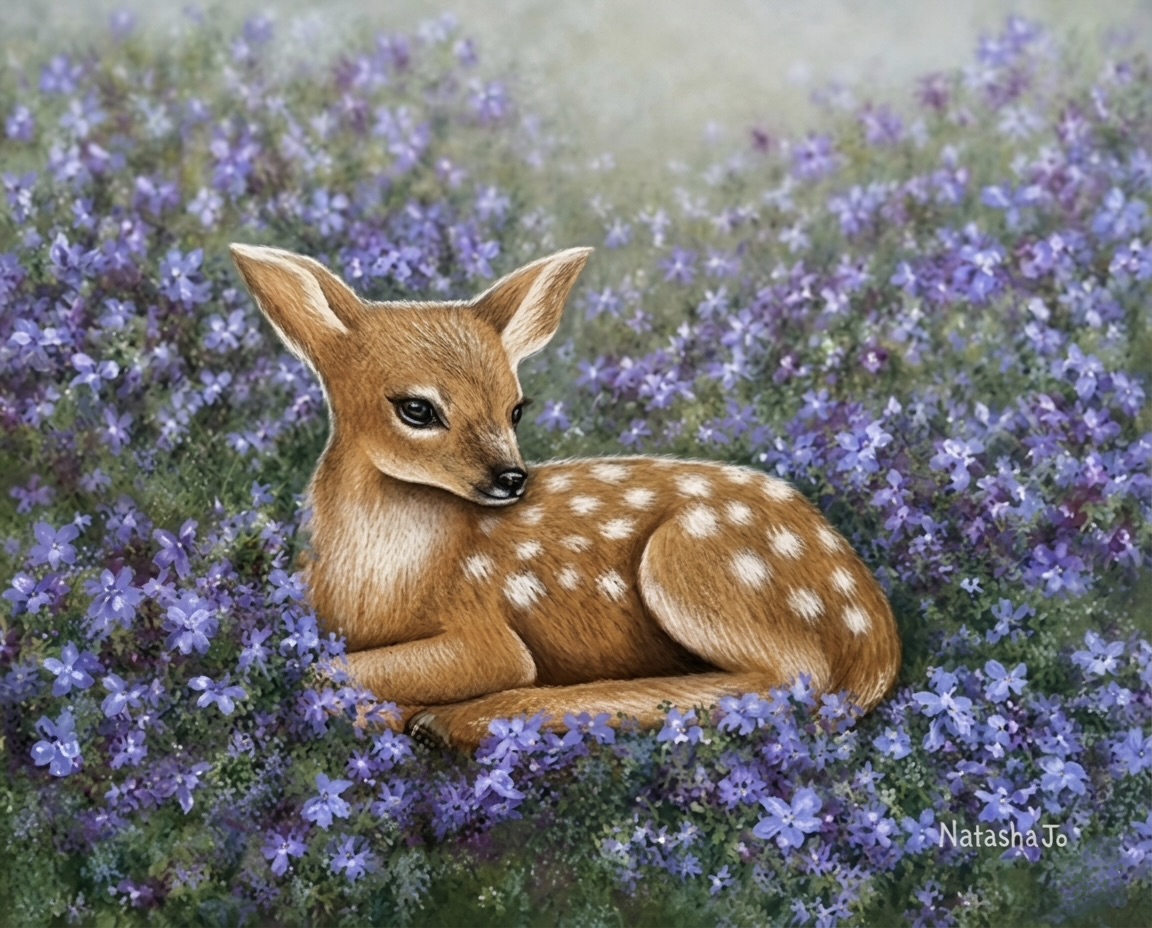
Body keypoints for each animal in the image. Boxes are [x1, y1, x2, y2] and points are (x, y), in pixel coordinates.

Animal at [229, 243, 901, 751]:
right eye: (416, 408)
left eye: (516, 408)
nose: (511, 477)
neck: (374, 585)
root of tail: (878, 638)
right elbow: (319, 666)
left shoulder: (486, 633)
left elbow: (325, 672)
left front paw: (388, 713)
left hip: (692, 558)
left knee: (789, 683)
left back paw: (460, 720)